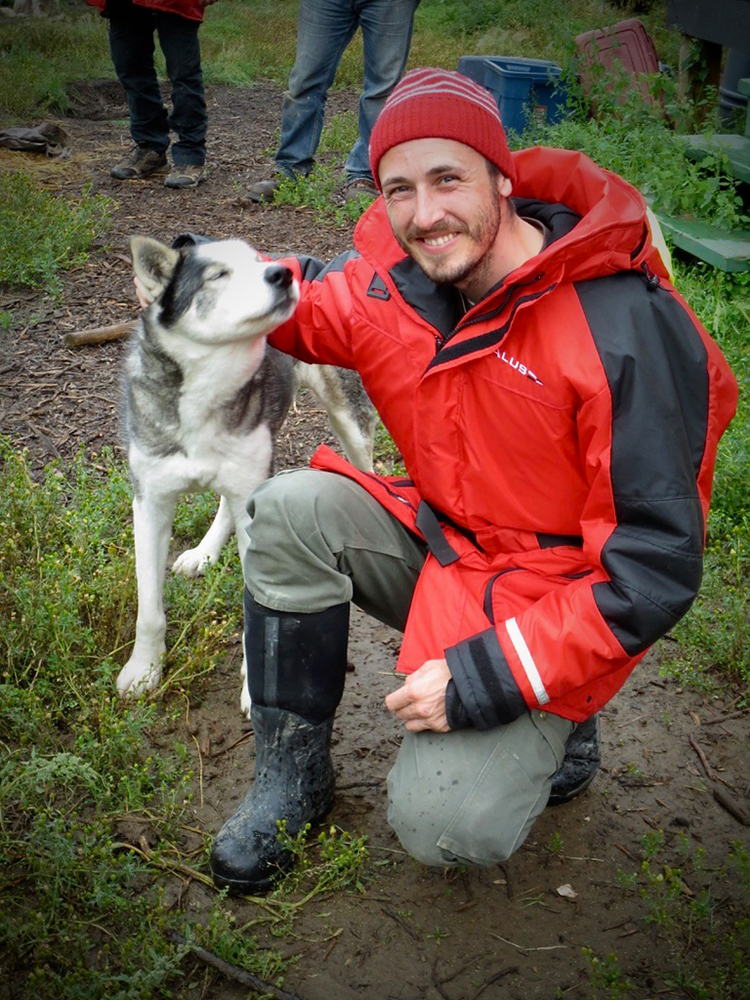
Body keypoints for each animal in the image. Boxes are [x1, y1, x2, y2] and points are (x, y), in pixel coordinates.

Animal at [117, 235, 375, 715]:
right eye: (218, 274)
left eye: (259, 263)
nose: (284, 273)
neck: (208, 389)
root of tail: (319, 261)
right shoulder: (150, 505)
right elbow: (149, 609)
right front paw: (143, 670)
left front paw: (253, 687)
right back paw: (204, 551)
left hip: (348, 420)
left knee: (368, 469)